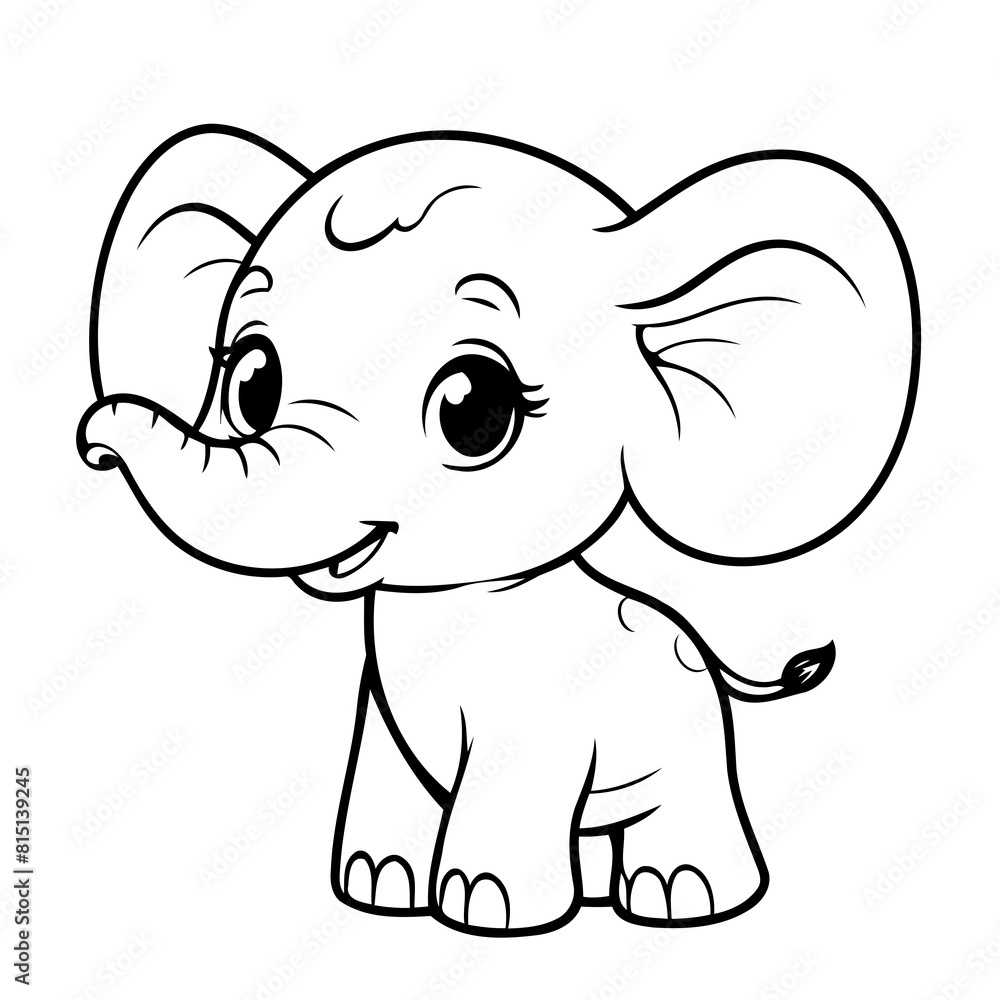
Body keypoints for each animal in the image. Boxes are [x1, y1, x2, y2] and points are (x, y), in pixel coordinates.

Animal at [77, 126, 918, 936]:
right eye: (252, 379)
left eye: (474, 407)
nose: (93, 441)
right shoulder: (376, 706)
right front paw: (379, 885)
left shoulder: (539, 717)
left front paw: (485, 908)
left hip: (691, 738)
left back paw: (684, 896)